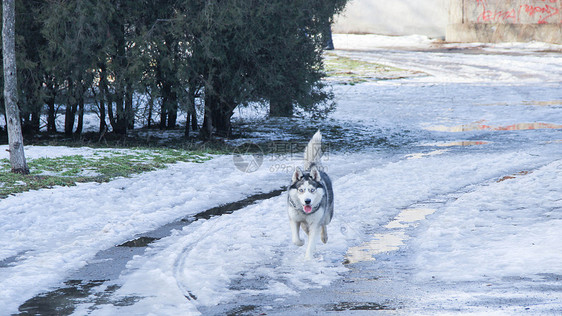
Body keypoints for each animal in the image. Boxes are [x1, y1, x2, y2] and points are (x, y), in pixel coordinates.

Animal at [286, 130, 330, 258]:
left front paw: (308, 258)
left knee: (323, 225)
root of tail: (312, 167)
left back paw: (324, 237)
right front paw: (301, 241)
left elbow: (312, 238)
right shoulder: (294, 219)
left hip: (327, 216)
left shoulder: (315, 223)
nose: (307, 201)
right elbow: (296, 239)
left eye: (312, 190)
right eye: (301, 190)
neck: (304, 212)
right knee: (306, 228)